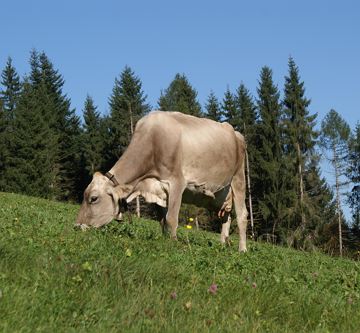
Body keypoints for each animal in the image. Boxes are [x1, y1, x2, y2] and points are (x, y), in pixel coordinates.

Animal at [76, 110, 249, 250]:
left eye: (93, 198)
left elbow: (171, 218)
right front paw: (164, 240)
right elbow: (161, 220)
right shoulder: (156, 189)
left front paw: (173, 244)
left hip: (238, 178)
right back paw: (222, 245)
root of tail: (236, 133)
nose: (76, 226)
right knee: (226, 217)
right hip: (223, 194)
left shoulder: (177, 182)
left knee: (242, 215)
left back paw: (242, 250)